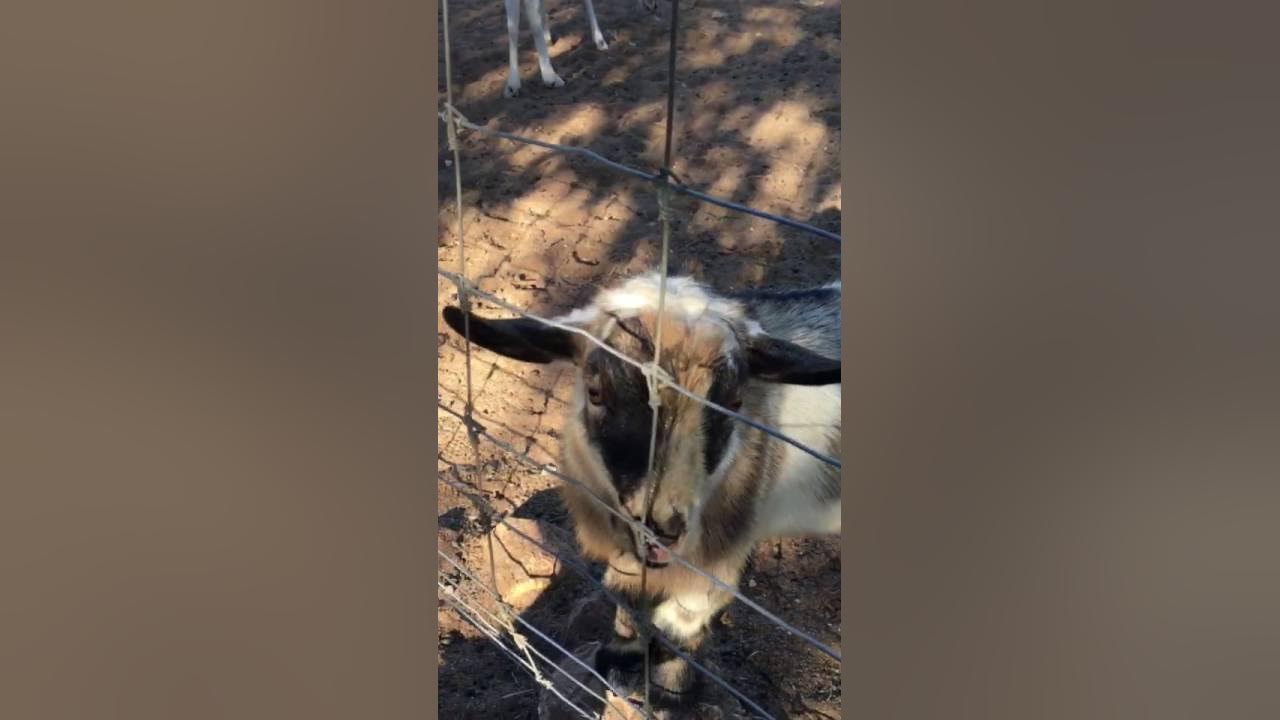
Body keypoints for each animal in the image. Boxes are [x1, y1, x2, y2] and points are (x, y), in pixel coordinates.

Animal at [442, 272, 841, 714]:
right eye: (596, 392)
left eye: (735, 402)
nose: (662, 527)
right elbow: (625, 597)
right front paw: (620, 658)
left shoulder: (716, 560)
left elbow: (681, 624)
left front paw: (670, 692)